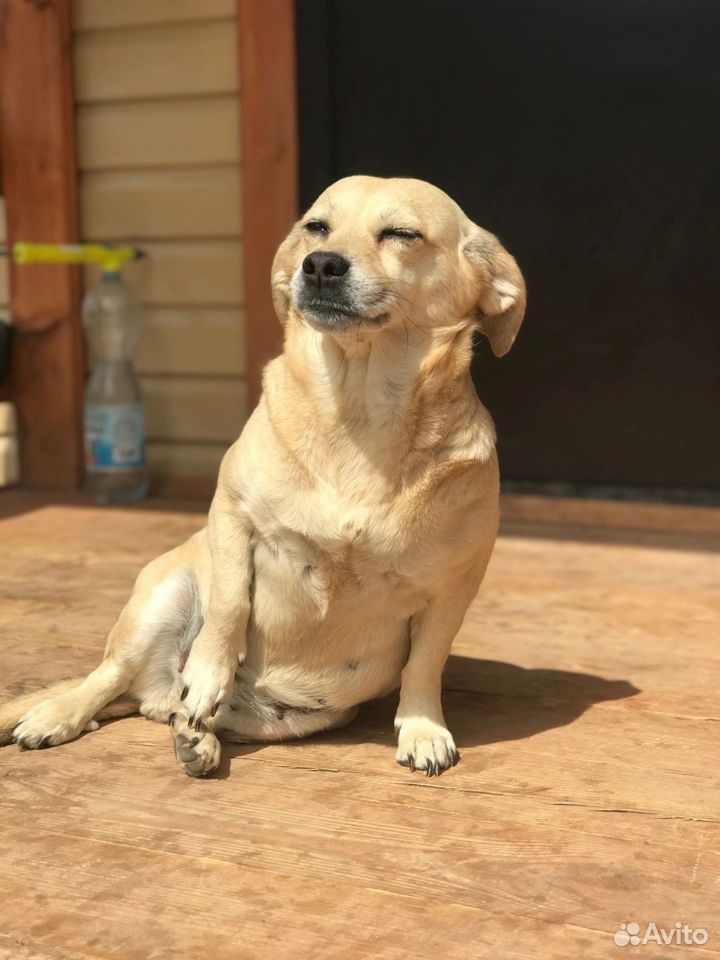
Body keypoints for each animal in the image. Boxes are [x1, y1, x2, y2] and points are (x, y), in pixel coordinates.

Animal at [1, 178, 528, 780]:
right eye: (316, 227)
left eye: (402, 234)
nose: (320, 264)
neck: (360, 410)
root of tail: (152, 690)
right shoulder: (233, 516)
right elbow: (230, 604)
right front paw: (207, 672)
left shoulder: (453, 589)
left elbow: (425, 665)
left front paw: (423, 729)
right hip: (162, 595)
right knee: (109, 676)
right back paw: (64, 714)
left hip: (305, 715)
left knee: (174, 713)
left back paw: (197, 740)